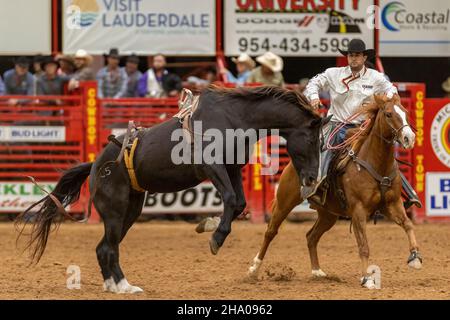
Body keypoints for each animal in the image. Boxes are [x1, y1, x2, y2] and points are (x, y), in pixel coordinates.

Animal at [16, 84, 330, 292]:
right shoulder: (211, 166)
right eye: (312, 139)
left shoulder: (231, 169)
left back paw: (115, 286)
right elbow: (230, 198)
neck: (234, 117)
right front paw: (215, 238)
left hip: (131, 209)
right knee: (108, 248)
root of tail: (95, 166)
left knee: (104, 247)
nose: (312, 179)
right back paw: (124, 286)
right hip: (115, 210)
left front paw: (208, 224)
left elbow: (238, 202)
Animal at [246, 94, 422, 288]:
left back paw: (317, 271)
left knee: (311, 237)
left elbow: (408, 224)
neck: (376, 163)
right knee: (270, 232)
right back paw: (254, 269)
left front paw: (415, 257)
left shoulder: (392, 204)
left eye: (405, 113)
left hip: (328, 214)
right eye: (389, 114)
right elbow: (363, 246)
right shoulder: (359, 211)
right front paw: (366, 278)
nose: (409, 138)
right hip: (286, 201)